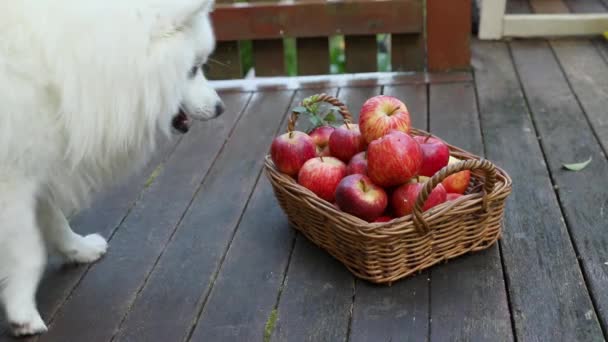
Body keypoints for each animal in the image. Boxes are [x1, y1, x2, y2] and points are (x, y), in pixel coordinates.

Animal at [0, 0, 223, 336]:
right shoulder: (12, 181)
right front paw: (22, 313)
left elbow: (54, 220)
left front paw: (78, 250)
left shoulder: (34, 160)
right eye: (193, 69)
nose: (221, 107)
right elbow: (29, 251)